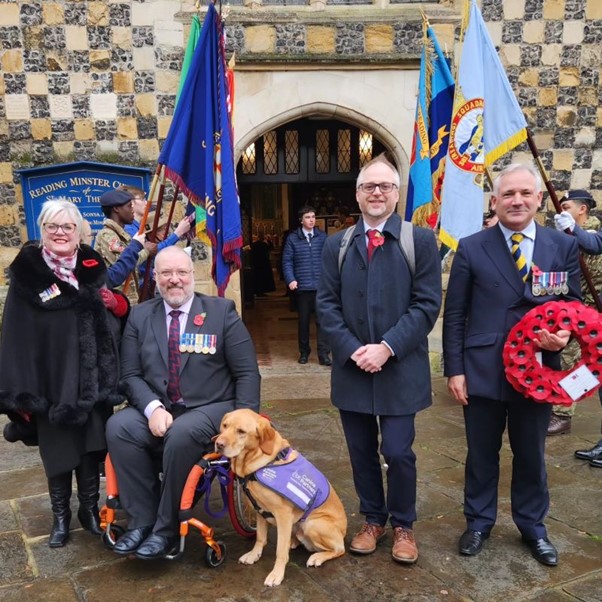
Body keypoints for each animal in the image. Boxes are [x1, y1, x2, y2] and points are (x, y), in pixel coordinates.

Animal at [216, 408, 346, 584]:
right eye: (225, 425)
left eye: (241, 431)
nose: (218, 444)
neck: (264, 462)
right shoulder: (260, 511)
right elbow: (260, 537)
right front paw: (253, 555)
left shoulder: (282, 514)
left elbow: (280, 552)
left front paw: (276, 574)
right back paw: (293, 542)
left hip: (312, 524)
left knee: (339, 548)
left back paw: (317, 557)